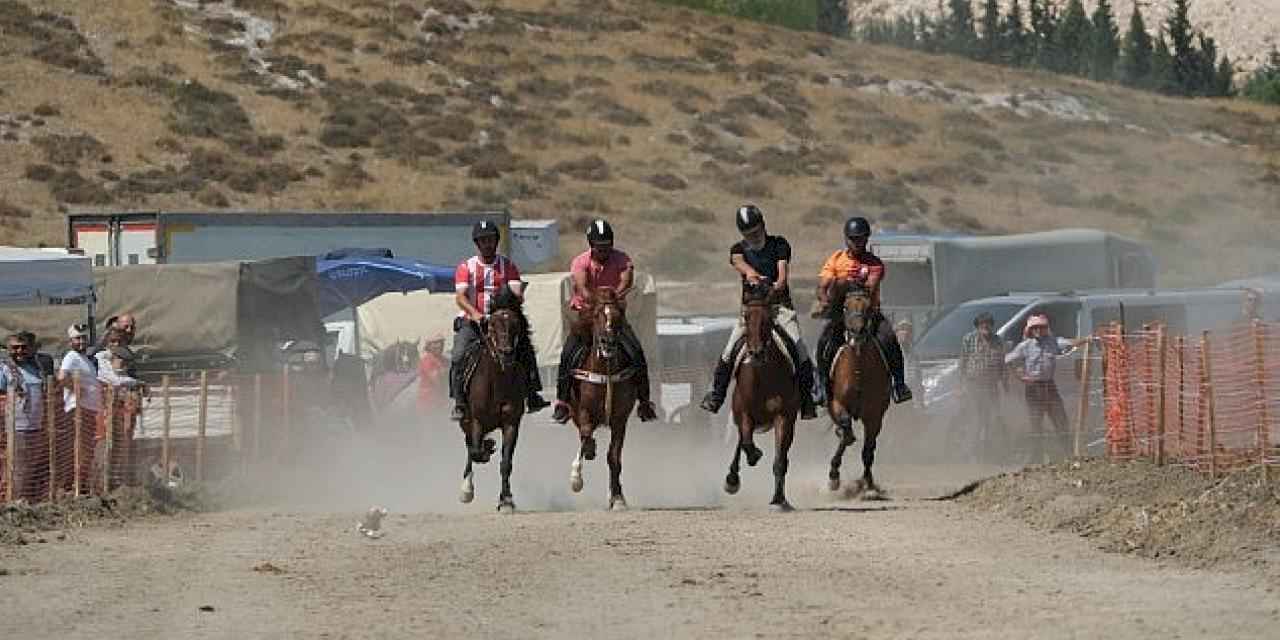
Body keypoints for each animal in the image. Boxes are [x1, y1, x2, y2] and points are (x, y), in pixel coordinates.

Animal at [458, 307, 527, 512]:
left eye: (515, 325)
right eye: (493, 326)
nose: (506, 353)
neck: (497, 381)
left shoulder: (511, 423)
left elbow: (506, 463)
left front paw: (506, 501)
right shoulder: (477, 421)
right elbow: (475, 451)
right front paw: (487, 448)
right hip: (466, 421)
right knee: (469, 446)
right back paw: (466, 489)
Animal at [565, 288, 640, 512]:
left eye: (618, 316)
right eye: (597, 314)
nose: (608, 343)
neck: (604, 372)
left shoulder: (620, 419)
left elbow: (614, 457)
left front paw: (617, 498)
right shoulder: (583, 412)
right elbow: (586, 436)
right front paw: (576, 478)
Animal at [727, 282, 793, 512]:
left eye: (767, 319)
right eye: (746, 317)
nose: (755, 353)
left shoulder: (784, 417)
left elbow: (779, 460)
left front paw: (778, 499)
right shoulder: (744, 414)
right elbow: (746, 442)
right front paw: (755, 455)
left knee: (783, 455)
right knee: (742, 440)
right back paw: (732, 479)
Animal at [829, 281, 890, 499]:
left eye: (868, 308)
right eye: (845, 307)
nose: (857, 333)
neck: (858, 371)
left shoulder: (874, 415)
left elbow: (868, 449)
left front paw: (868, 484)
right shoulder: (837, 404)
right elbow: (847, 432)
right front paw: (833, 477)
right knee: (844, 431)